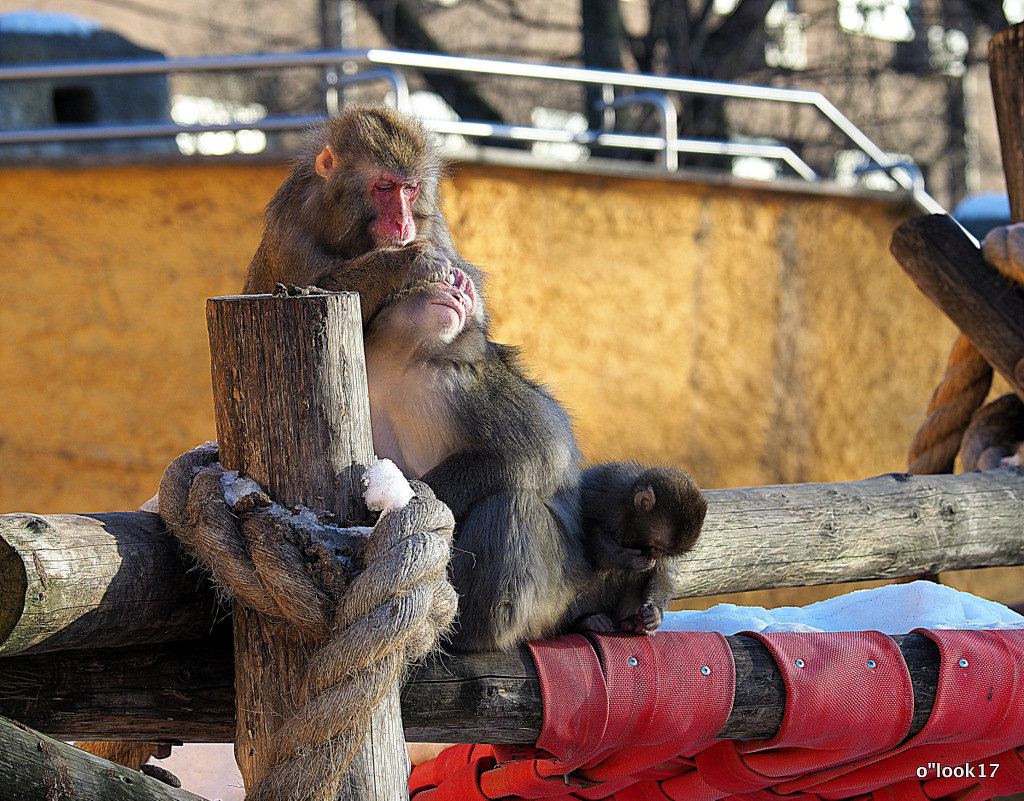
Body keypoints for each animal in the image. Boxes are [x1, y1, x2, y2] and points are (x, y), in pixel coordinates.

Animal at [565, 465, 708, 639]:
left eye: (665, 553)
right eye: (657, 549)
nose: (655, 556)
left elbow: (660, 572)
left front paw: (655, 612)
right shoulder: (606, 493)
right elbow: (584, 526)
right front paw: (624, 559)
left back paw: (631, 621)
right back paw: (586, 620)